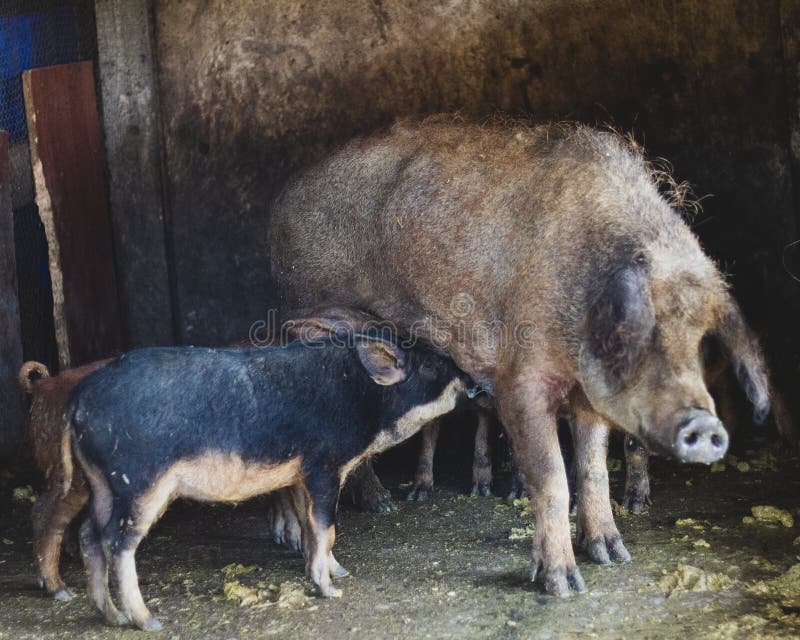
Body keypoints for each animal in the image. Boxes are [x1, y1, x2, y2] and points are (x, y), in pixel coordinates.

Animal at [65, 335, 474, 630]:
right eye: (430, 364)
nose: (472, 381)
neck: (364, 397)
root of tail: (78, 399)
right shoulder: (323, 466)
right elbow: (327, 527)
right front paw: (331, 588)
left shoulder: (299, 476)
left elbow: (310, 526)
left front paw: (337, 571)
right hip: (138, 482)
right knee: (117, 542)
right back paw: (149, 622)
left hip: (100, 483)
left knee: (88, 534)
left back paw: (112, 617)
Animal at [267, 116, 771, 595]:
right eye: (637, 333)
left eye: (699, 340)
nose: (705, 425)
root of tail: (285, 196)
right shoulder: (518, 380)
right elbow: (552, 477)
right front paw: (563, 584)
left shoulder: (588, 396)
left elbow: (592, 468)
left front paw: (613, 555)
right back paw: (353, 516)